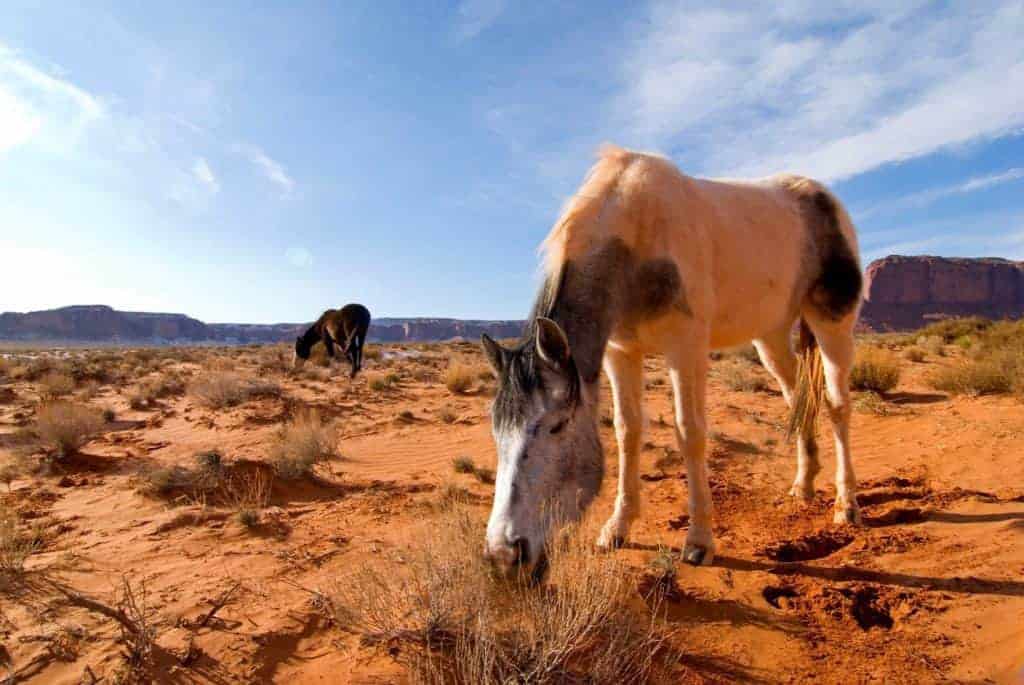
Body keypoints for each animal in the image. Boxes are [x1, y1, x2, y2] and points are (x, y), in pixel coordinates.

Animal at [480, 145, 862, 578]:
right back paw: (804, 484)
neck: (634, 241)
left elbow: (689, 432)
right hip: (772, 337)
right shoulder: (620, 353)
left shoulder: (686, 347)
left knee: (837, 405)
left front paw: (699, 541)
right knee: (799, 397)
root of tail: (824, 199)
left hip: (833, 324)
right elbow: (627, 431)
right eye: (496, 430)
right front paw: (618, 527)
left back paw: (846, 504)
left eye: (556, 427)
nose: (503, 554)